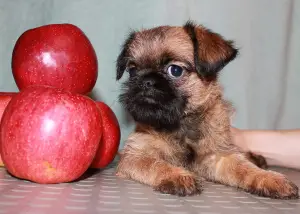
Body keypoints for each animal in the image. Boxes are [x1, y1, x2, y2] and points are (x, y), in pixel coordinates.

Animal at [114, 20, 298, 199]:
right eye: (132, 71)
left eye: (175, 70)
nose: (145, 81)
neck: (181, 124)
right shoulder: (134, 156)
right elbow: (155, 164)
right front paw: (177, 175)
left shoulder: (219, 156)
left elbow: (244, 168)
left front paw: (268, 178)